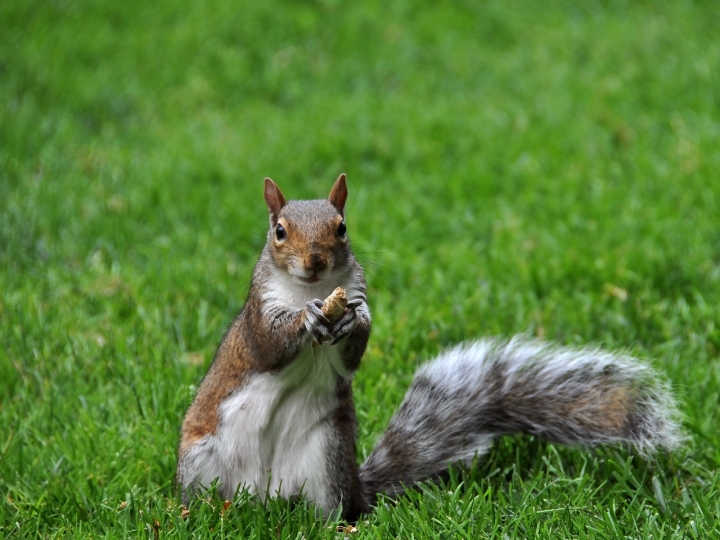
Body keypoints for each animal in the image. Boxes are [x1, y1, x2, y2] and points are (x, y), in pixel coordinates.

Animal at [177, 175, 684, 520]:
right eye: (279, 231)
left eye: (341, 227)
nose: (315, 260)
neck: (314, 290)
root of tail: (262, 497)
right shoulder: (258, 314)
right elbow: (270, 344)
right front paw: (306, 319)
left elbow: (353, 350)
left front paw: (353, 321)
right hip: (203, 459)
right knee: (202, 499)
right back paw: (195, 513)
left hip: (326, 458)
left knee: (331, 511)